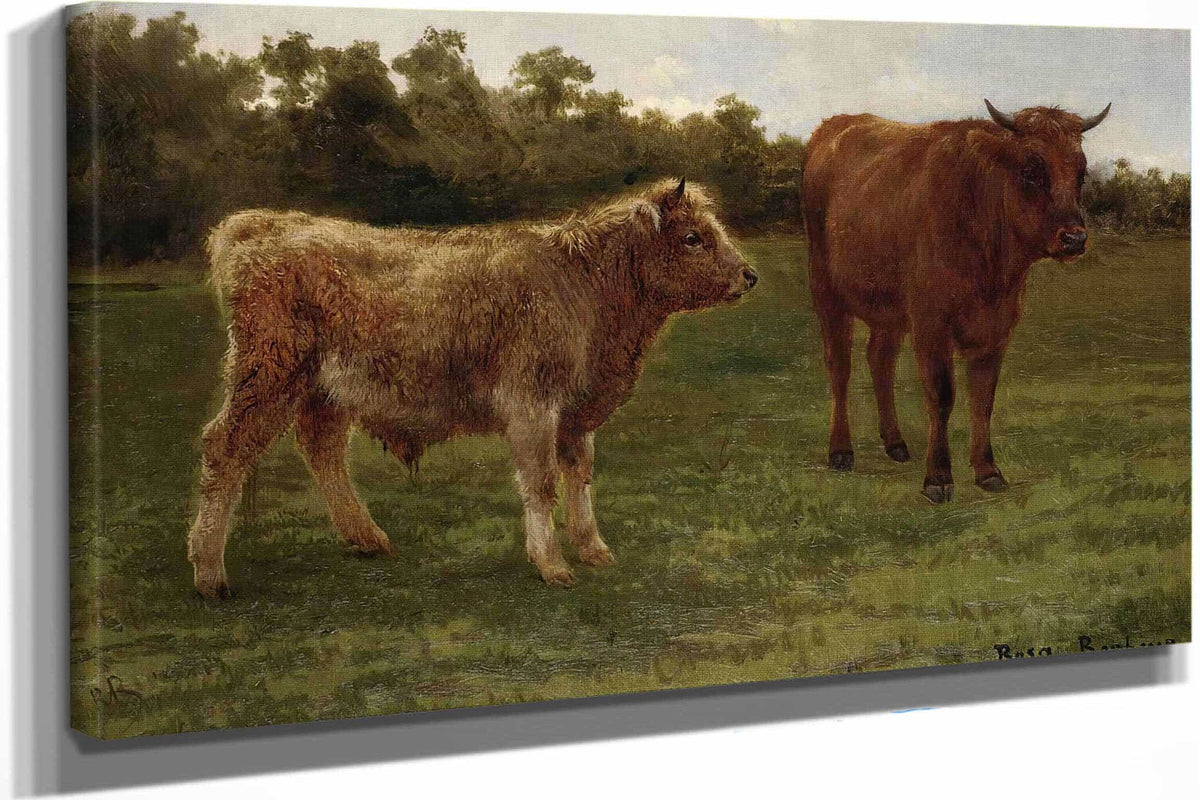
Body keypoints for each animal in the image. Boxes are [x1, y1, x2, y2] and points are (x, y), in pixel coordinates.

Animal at [187, 179, 757, 597]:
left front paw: (594, 549)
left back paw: (367, 538)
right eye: (692, 237)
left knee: (322, 450)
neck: (583, 281)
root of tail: (264, 224)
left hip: (324, 389)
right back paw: (210, 573)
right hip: (269, 374)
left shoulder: (575, 413)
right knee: (226, 447)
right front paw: (552, 564)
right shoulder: (532, 405)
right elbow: (541, 480)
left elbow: (579, 476)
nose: (749, 276)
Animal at [802, 100, 1110, 503]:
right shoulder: (931, 324)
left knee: (880, 360)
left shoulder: (997, 328)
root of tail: (836, 125)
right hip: (827, 291)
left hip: (889, 310)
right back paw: (840, 451)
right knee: (839, 366)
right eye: (1031, 171)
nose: (1074, 238)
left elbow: (982, 400)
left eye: (1081, 174)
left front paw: (988, 471)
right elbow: (941, 394)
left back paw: (896, 443)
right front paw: (938, 478)